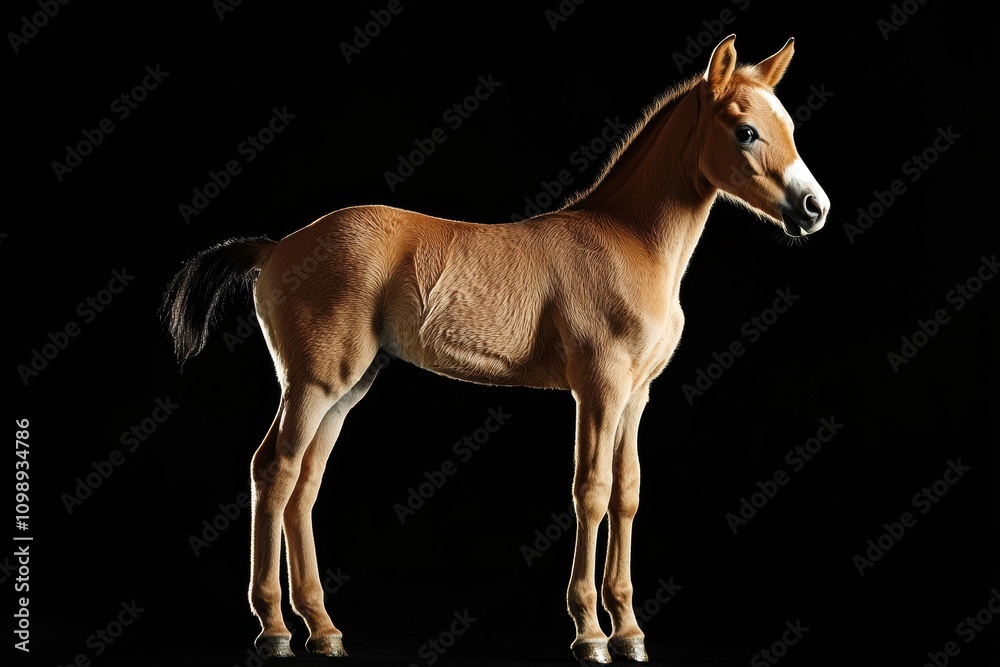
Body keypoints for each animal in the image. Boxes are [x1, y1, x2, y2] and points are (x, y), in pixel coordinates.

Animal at [162, 34, 829, 663]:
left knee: (305, 482)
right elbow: (591, 491)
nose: (814, 207)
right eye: (746, 131)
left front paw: (630, 632)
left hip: (348, 388)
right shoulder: (599, 387)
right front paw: (590, 633)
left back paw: (323, 629)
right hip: (314, 382)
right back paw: (275, 628)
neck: (630, 241)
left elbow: (628, 493)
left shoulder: (637, 395)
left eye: (791, 128)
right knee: (274, 470)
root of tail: (277, 246)